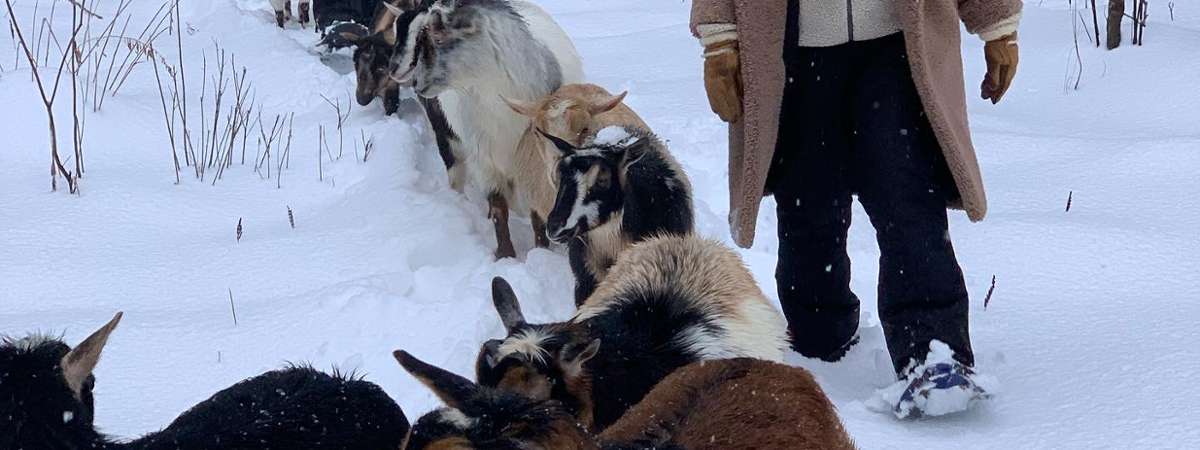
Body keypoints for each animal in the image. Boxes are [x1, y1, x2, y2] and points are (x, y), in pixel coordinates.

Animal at [386, 0, 583, 259]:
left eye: (434, 36)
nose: (397, 71)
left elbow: (536, 213)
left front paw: (541, 250)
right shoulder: (484, 156)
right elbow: (499, 207)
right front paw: (506, 255)